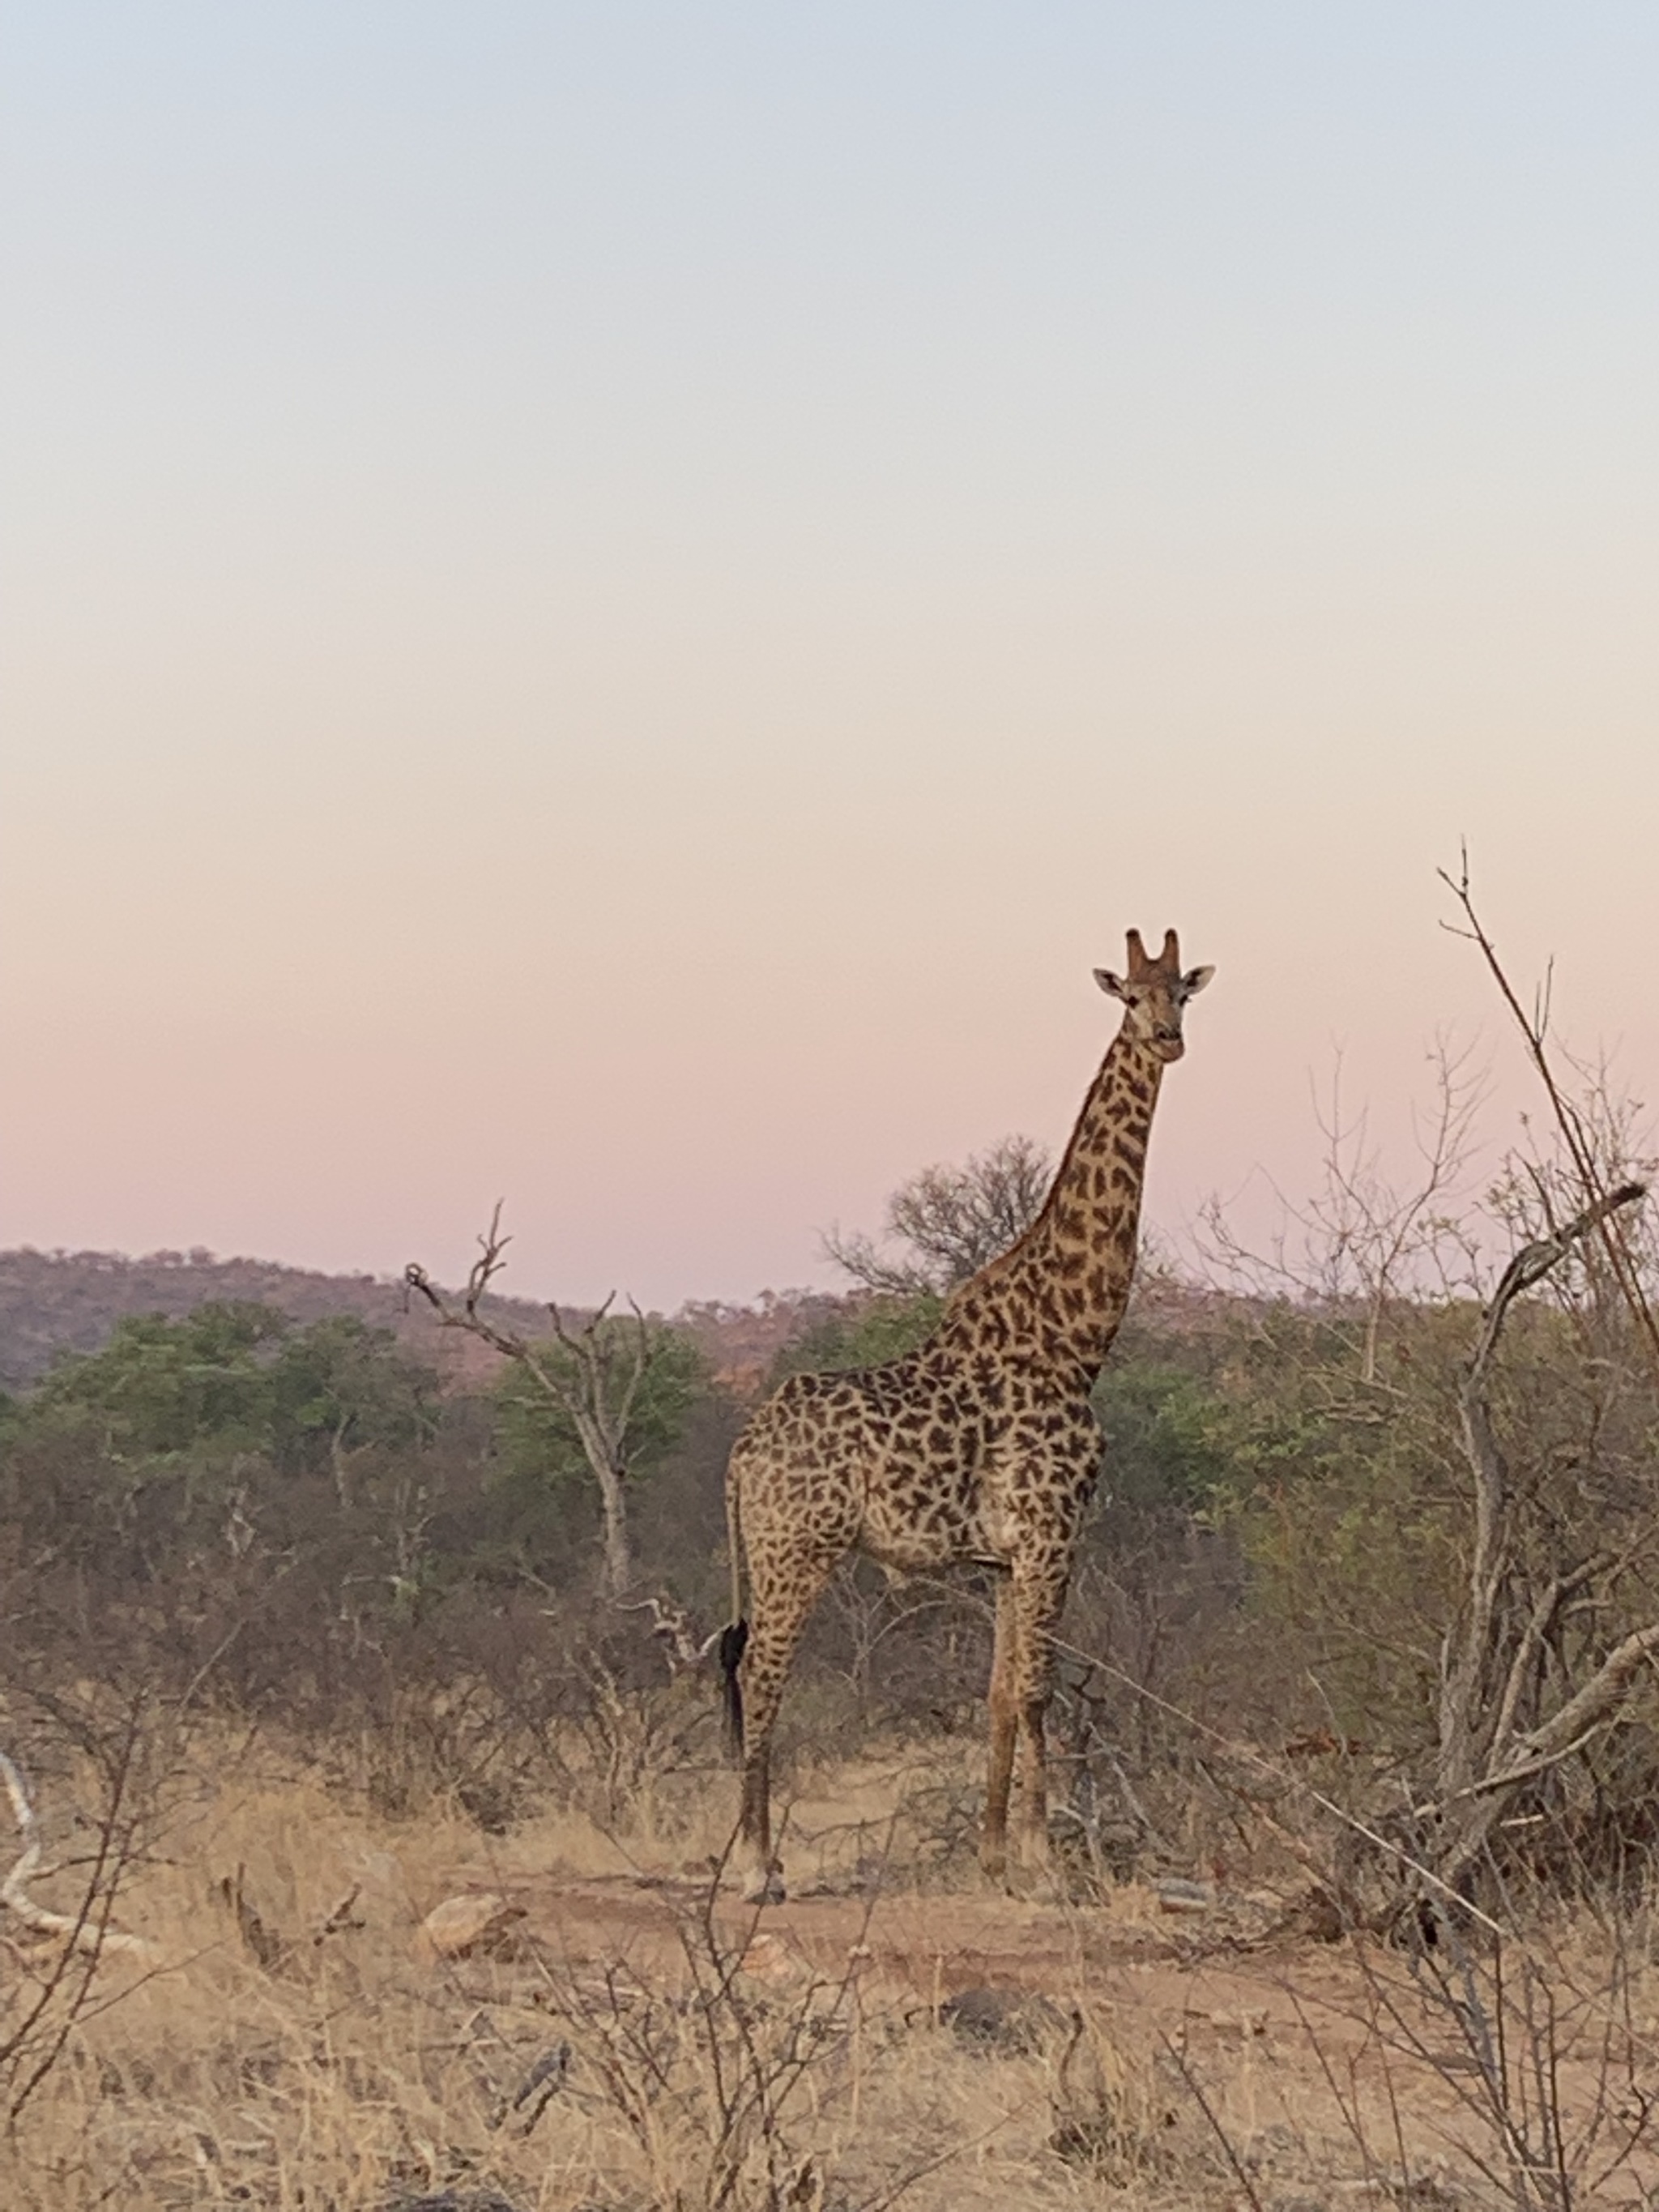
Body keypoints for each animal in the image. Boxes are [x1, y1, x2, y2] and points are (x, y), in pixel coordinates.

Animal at [721, 925, 1212, 1893]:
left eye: (1184, 993)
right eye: (1130, 997)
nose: (1168, 1039)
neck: (1074, 1337)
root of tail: (739, 1455)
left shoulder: (1003, 1557)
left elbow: (995, 1694)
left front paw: (992, 1855)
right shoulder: (1054, 1529)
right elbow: (1039, 1688)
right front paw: (1044, 1862)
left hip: (771, 1548)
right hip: (798, 1547)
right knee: (759, 1674)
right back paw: (758, 1867)